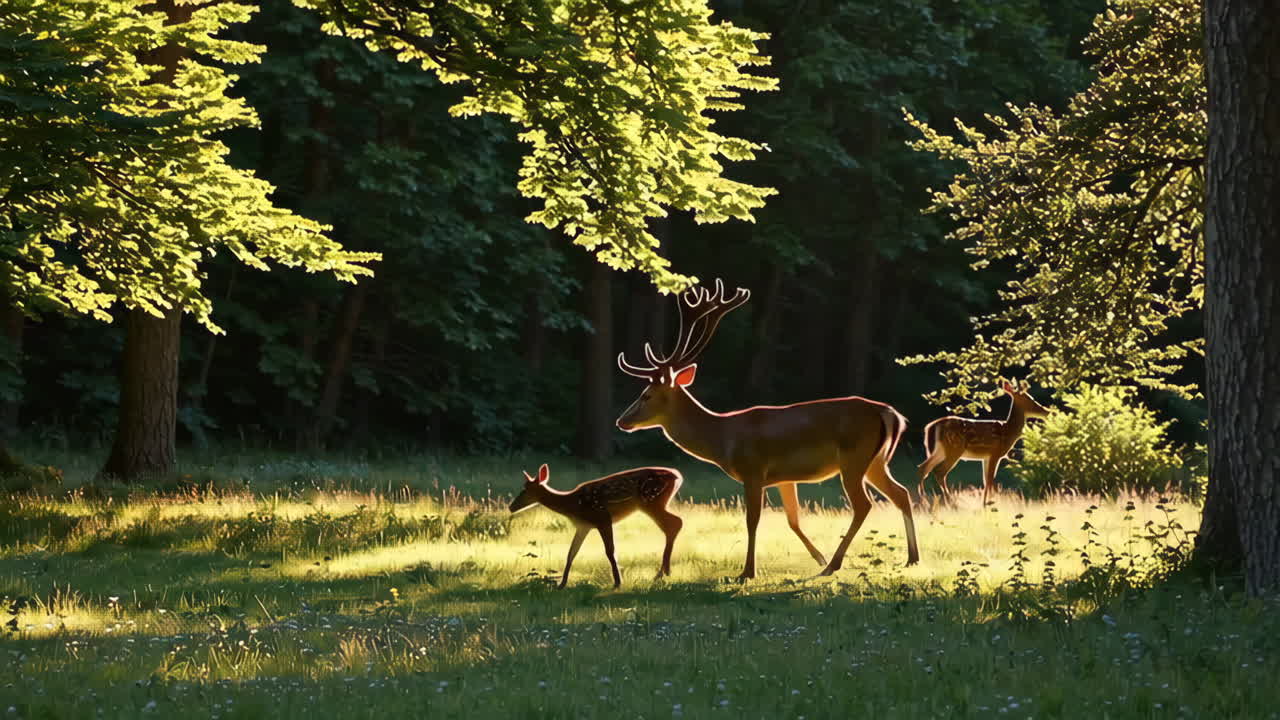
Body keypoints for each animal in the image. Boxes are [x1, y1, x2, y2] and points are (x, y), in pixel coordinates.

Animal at [509, 464, 684, 589]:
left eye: (525, 489)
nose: (511, 507)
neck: (572, 504)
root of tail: (677, 475)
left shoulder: (602, 518)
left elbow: (610, 551)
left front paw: (617, 582)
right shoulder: (583, 526)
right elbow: (571, 553)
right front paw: (562, 584)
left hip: (651, 500)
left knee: (675, 523)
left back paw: (662, 573)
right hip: (654, 502)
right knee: (674, 523)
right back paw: (663, 572)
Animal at [616, 279, 918, 580]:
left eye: (646, 395)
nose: (621, 421)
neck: (723, 437)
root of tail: (889, 413)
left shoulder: (753, 470)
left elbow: (753, 520)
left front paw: (747, 572)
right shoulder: (785, 477)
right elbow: (793, 519)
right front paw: (816, 556)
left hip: (854, 458)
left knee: (864, 505)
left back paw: (835, 564)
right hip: (876, 461)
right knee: (901, 493)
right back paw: (911, 558)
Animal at [916, 380, 1052, 506]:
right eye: (1030, 399)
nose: (1046, 411)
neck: (1007, 431)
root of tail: (931, 426)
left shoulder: (985, 457)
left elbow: (985, 480)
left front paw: (986, 503)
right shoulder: (995, 453)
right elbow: (990, 479)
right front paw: (989, 503)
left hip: (940, 450)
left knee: (923, 468)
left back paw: (925, 500)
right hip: (954, 448)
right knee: (939, 472)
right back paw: (951, 502)